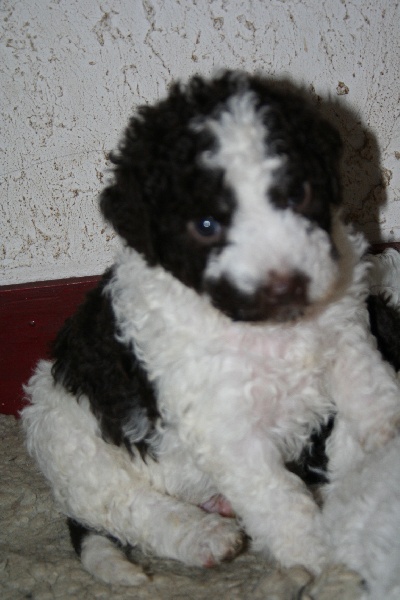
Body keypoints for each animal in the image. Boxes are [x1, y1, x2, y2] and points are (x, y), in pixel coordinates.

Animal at [22, 71, 400, 595]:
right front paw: (322, 558)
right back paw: (205, 535)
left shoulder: (344, 324)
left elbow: (366, 377)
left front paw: (387, 426)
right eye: (206, 225)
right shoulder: (226, 425)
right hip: (76, 452)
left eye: (297, 194)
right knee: (130, 508)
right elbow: (279, 498)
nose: (286, 285)